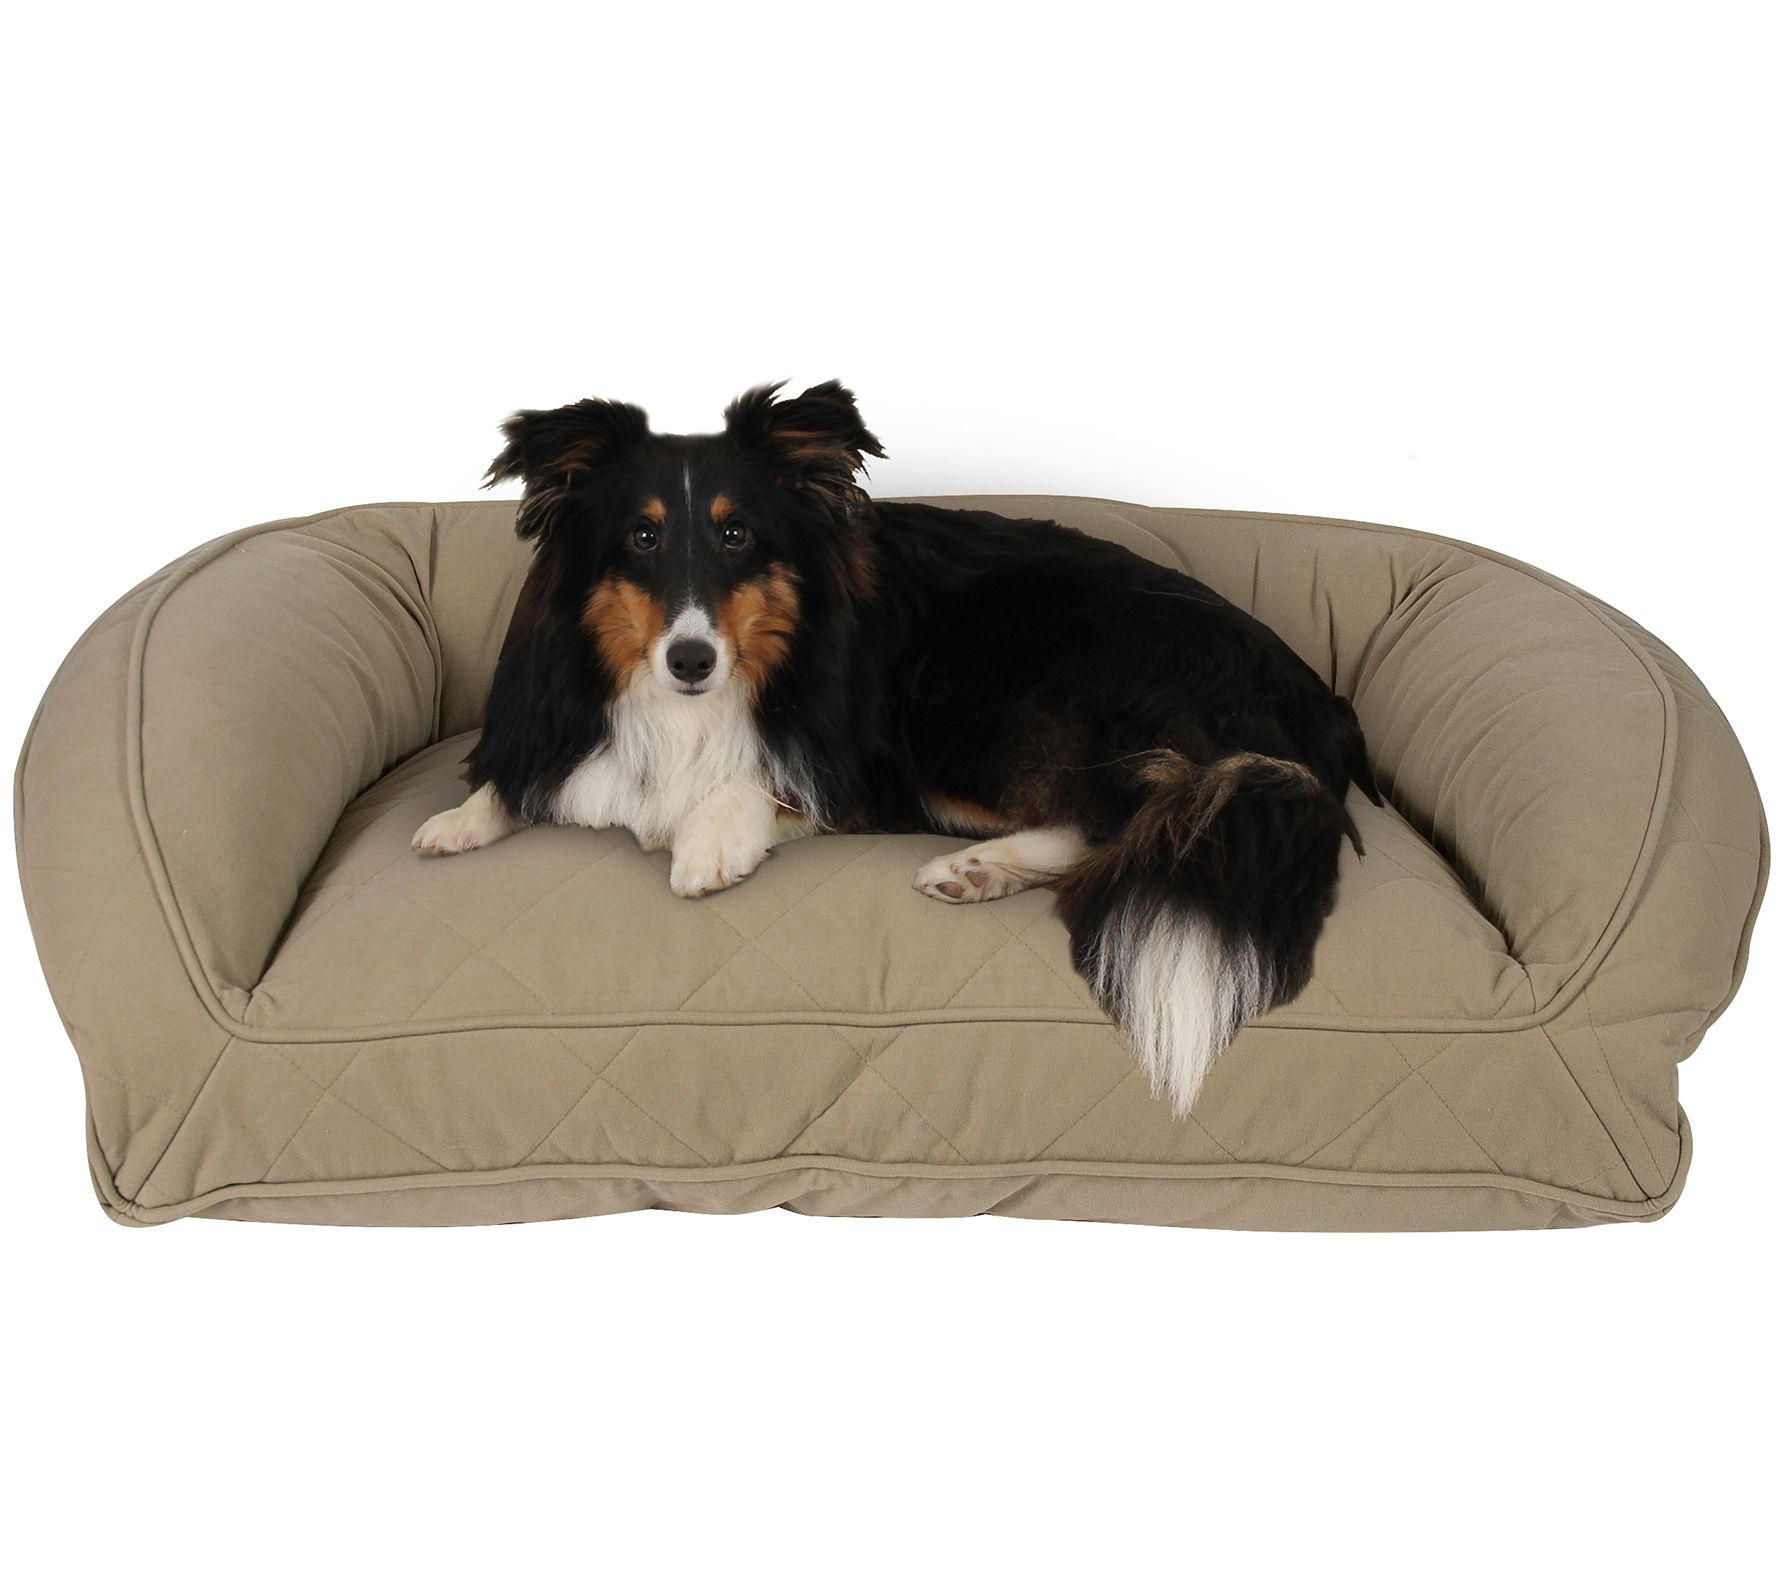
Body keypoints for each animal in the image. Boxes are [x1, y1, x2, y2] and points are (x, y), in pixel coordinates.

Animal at [414, 381, 1381, 1113]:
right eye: (642, 536)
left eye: (736, 534)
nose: (691, 660)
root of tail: (1306, 702)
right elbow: (520, 779)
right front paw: (456, 821)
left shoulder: (861, 765)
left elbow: (762, 780)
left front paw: (707, 843)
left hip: (962, 699)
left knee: (1127, 821)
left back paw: (977, 867)